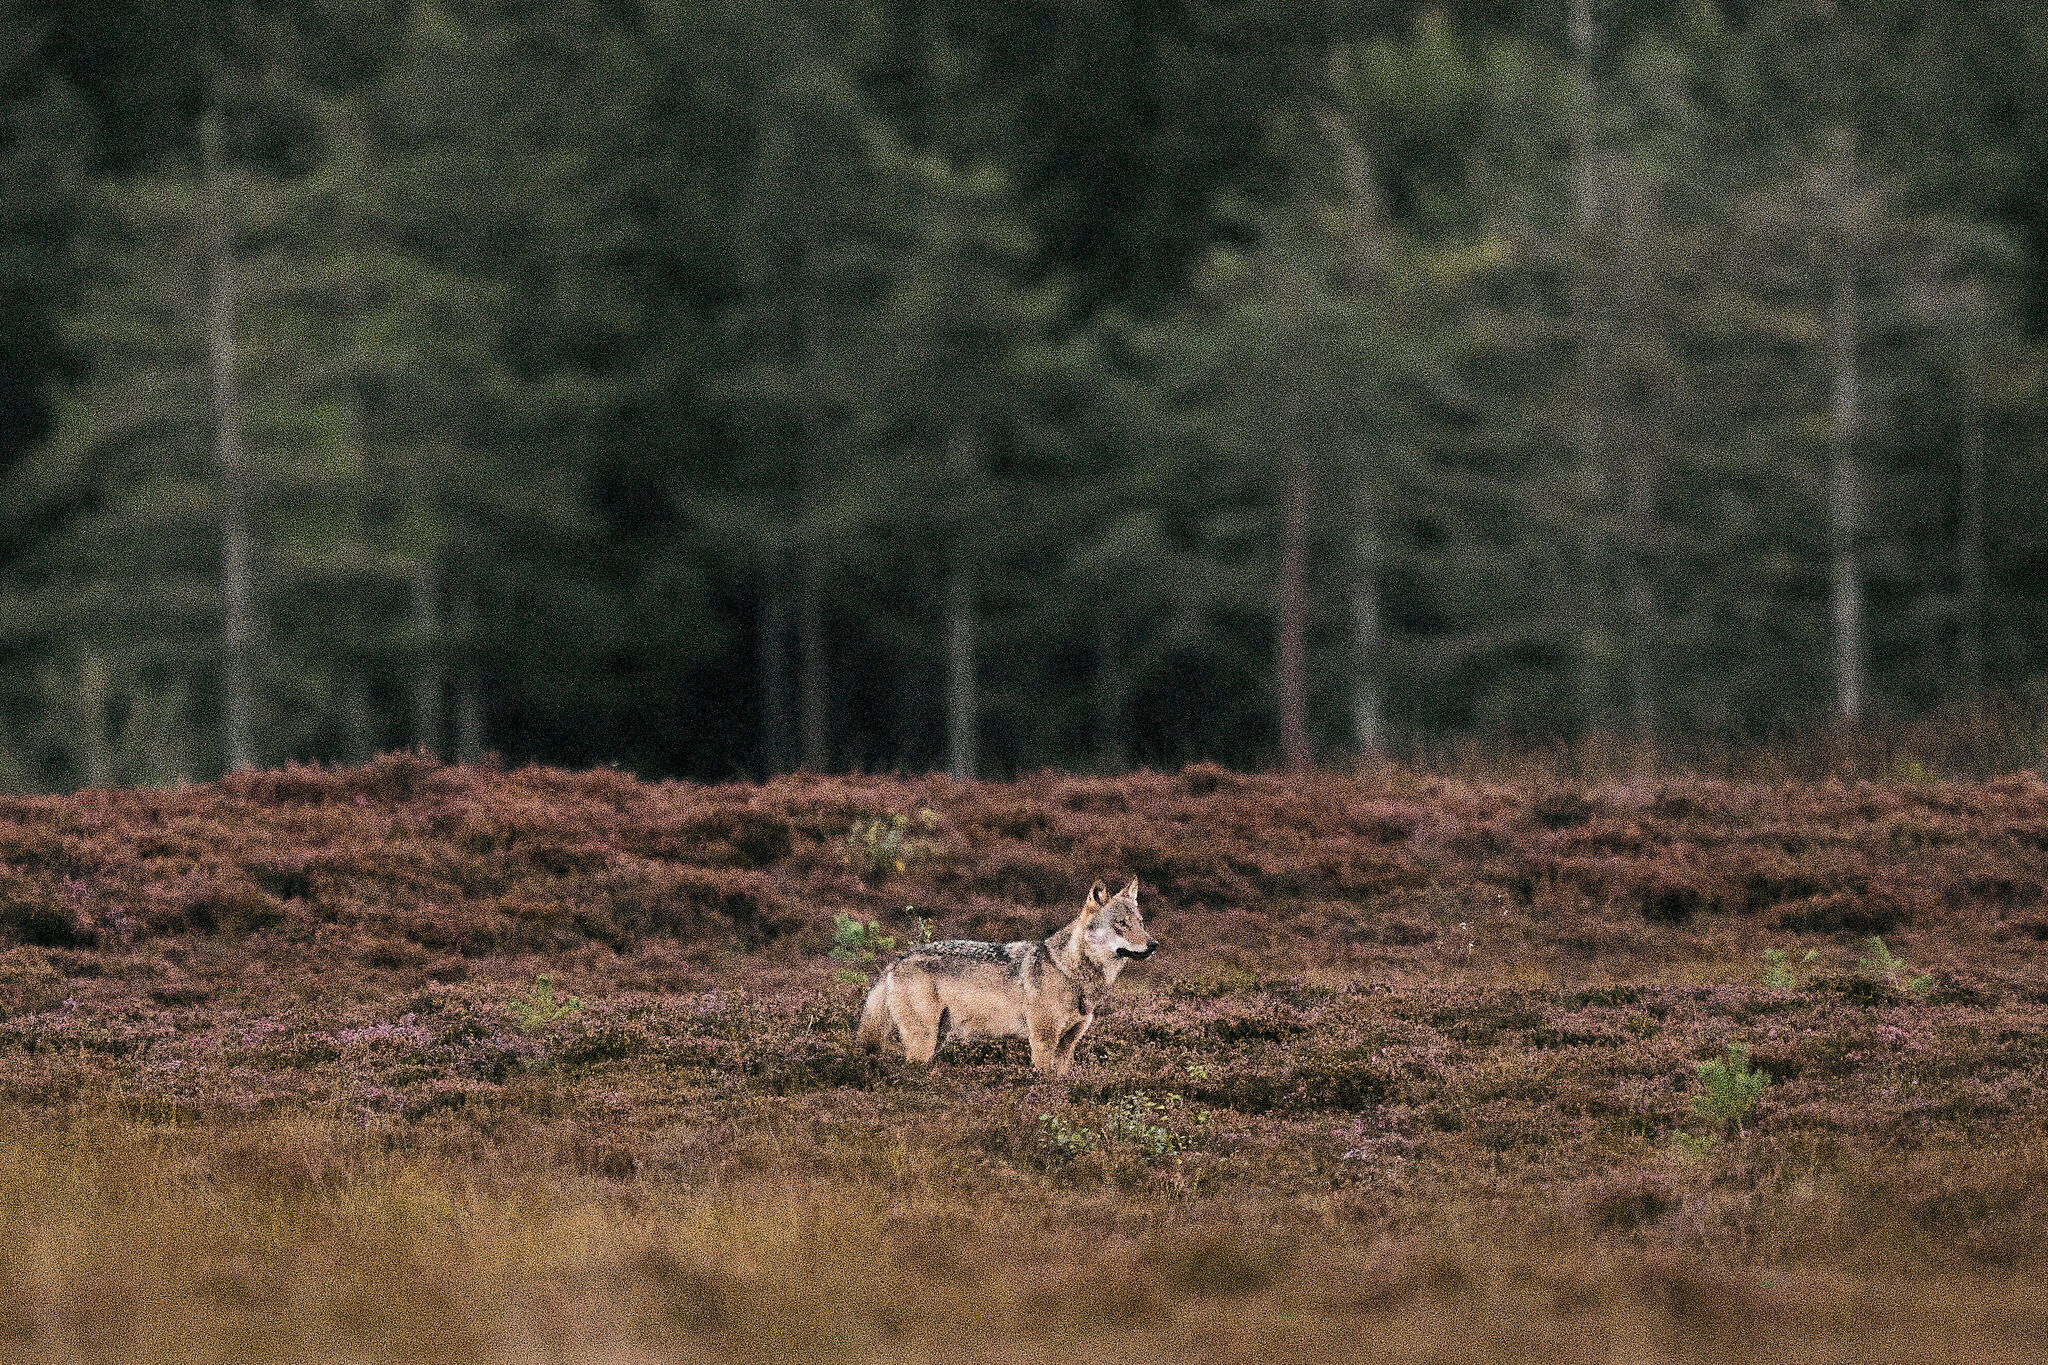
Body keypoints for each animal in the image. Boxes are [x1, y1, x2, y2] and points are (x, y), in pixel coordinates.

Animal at [855, 878, 1158, 1074]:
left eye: (1140, 923)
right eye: (1120, 924)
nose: (1153, 944)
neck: (1071, 972)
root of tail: (897, 960)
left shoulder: (1068, 1045)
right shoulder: (1042, 1041)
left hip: (937, 1038)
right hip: (923, 1043)